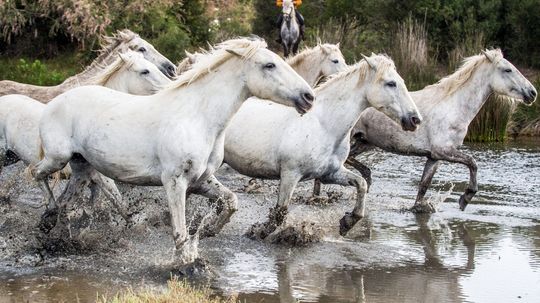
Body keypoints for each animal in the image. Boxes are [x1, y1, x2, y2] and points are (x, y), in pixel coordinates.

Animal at [31, 38, 314, 264]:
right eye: (269, 65)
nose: (308, 97)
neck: (198, 117)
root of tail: (54, 103)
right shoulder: (175, 181)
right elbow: (180, 232)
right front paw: (186, 266)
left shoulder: (201, 180)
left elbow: (230, 202)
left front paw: (210, 230)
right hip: (58, 158)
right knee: (36, 174)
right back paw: (46, 221)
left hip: (82, 166)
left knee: (66, 202)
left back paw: (59, 235)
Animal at [224, 54, 422, 240]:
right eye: (391, 83)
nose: (415, 119)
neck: (323, 124)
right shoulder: (290, 175)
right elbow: (279, 214)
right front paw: (260, 233)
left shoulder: (329, 174)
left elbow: (362, 184)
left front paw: (347, 223)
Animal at [354, 48, 536, 213]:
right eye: (507, 69)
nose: (532, 93)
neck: (453, 107)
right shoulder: (443, 150)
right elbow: (472, 163)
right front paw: (466, 198)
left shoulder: (434, 157)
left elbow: (424, 185)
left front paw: (420, 207)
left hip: (364, 142)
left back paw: (367, 177)